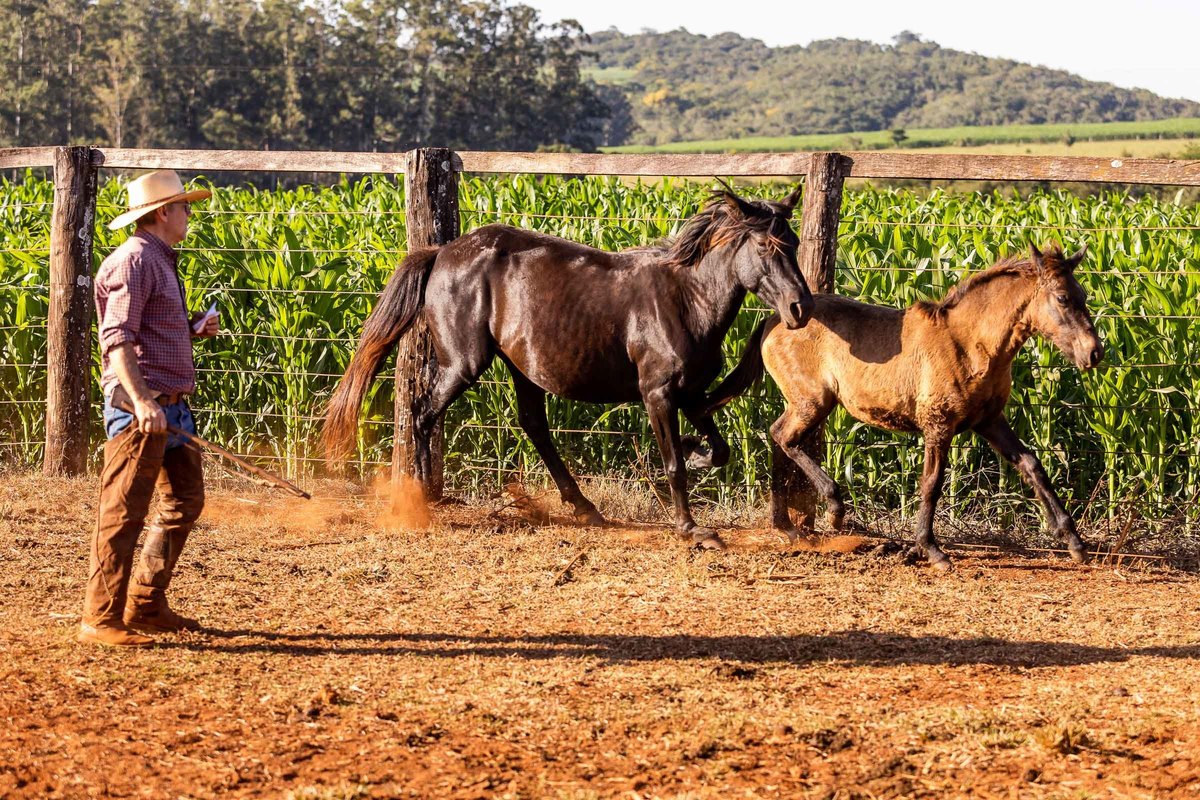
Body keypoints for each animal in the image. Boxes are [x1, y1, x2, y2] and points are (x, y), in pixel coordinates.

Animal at [324, 185, 815, 549]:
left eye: (793, 243)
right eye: (767, 246)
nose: (800, 308)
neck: (686, 299)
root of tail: (443, 252)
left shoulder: (691, 393)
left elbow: (720, 448)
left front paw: (697, 453)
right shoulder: (657, 393)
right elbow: (673, 463)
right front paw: (694, 529)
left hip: (521, 368)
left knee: (533, 426)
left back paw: (585, 507)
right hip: (464, 362)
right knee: (424, 412)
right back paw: (420, 502)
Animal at [703, 243, 1103, 568]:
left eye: (1083, 294)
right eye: (1063, 298)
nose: (1094, 353)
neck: (969, 344)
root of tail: (774, 319)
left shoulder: (989, 421)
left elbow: (1032, 465)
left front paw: (1074, 542)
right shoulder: (938, 425)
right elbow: (932, 483)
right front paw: (931, 549)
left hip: (809, 403)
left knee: (778, 438)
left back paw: (787, 527)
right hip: (812, 401)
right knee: (783, 436)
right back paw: (833, 509)